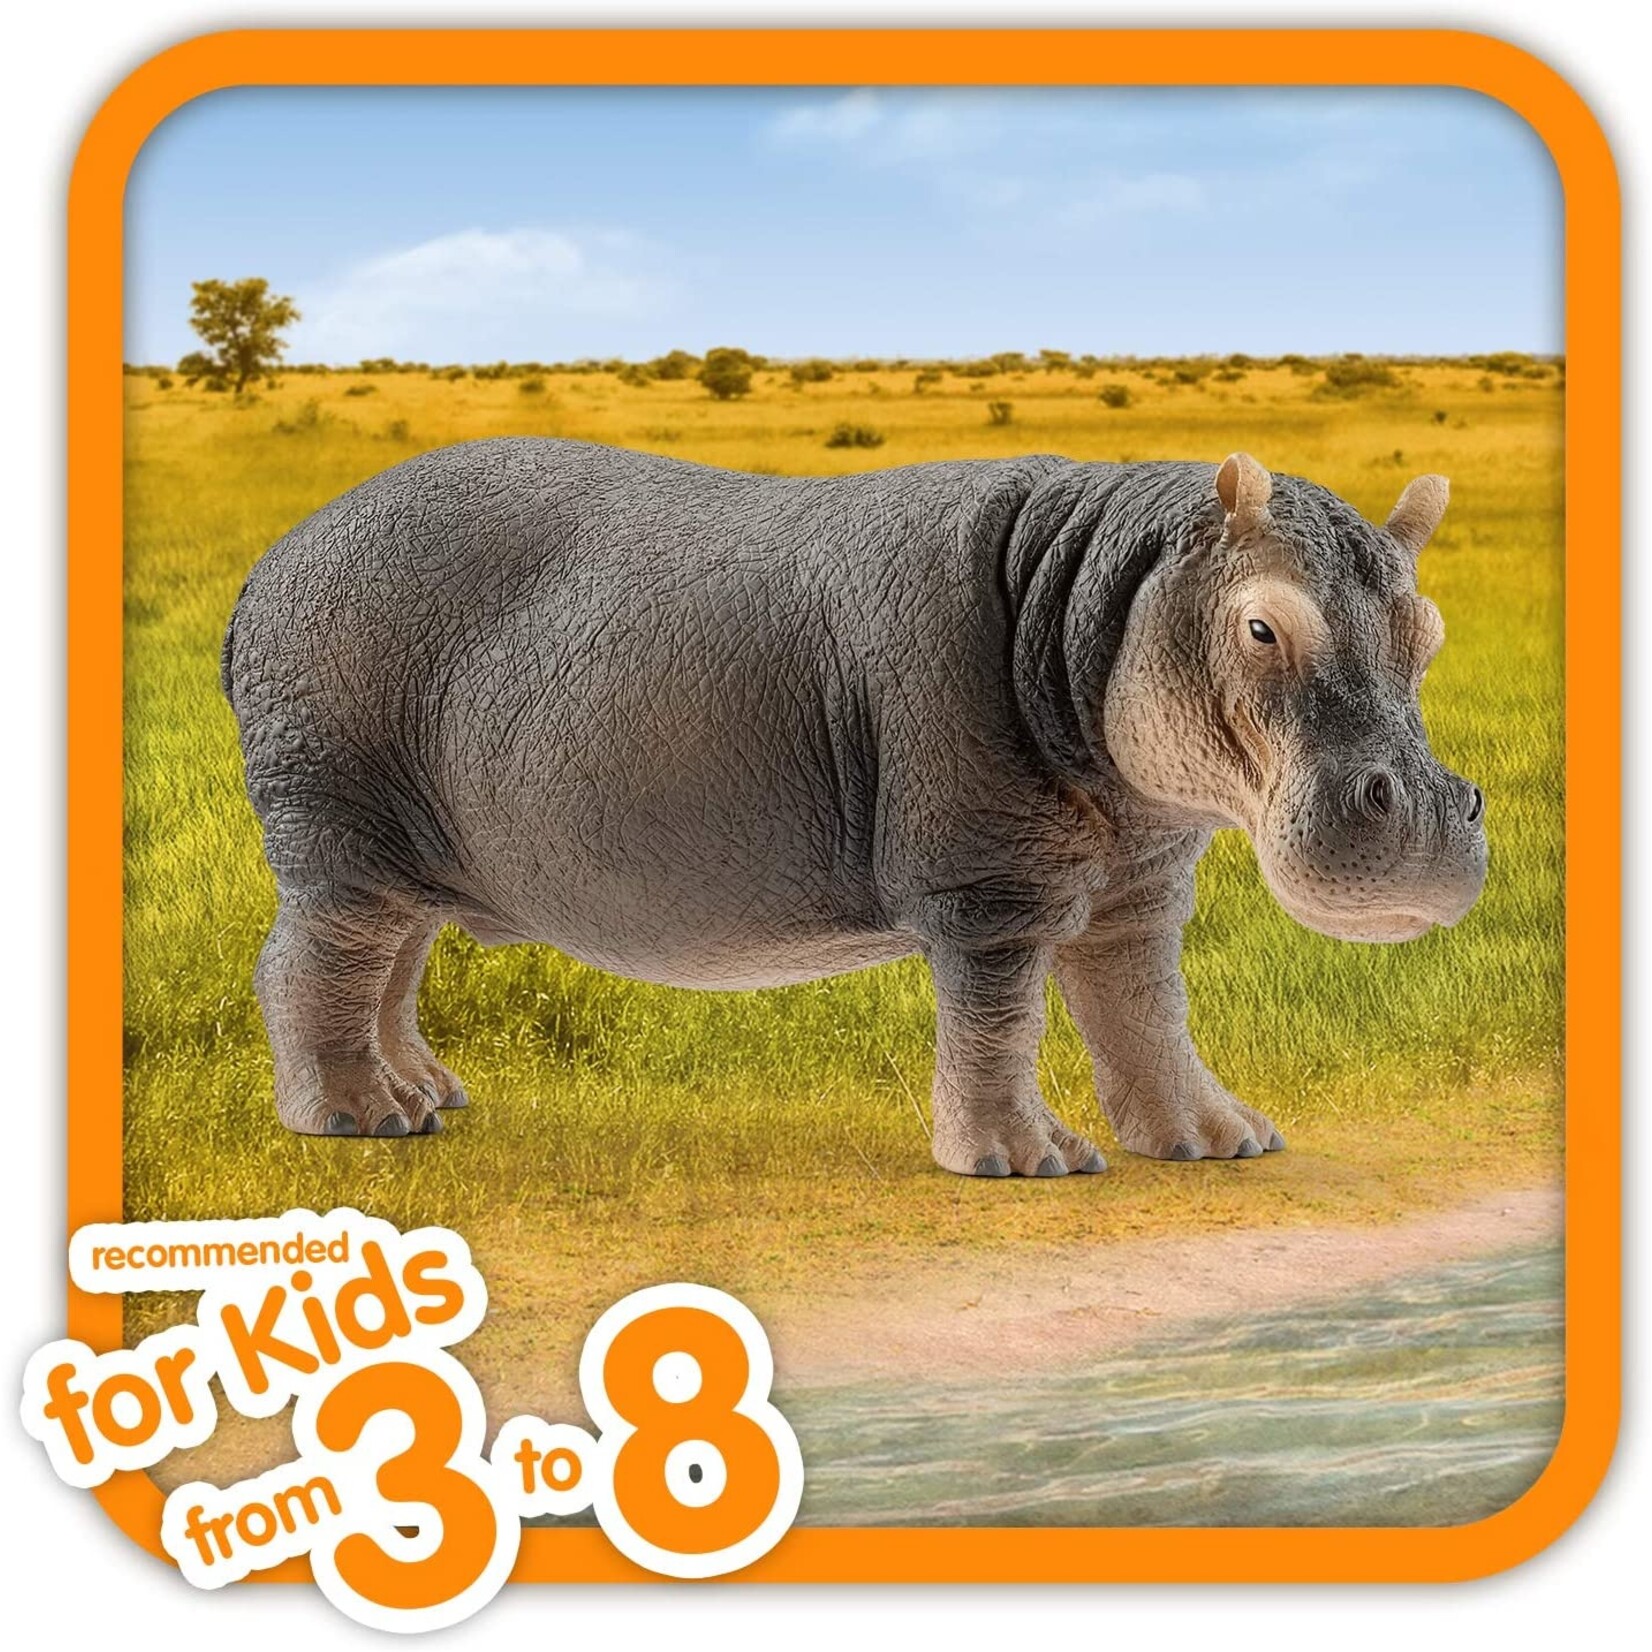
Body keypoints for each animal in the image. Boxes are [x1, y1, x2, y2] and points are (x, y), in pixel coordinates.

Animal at [221, 440, 1486, 1174]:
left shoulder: (1136, 877)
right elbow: (1000, 1021)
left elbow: (1144, 1011)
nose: (1430, 814)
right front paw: (1025, 1161)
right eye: (1261, 624)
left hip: (406, 847)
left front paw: (1223, 1141)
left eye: (1427, 627)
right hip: (336, 830)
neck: (1103, 582)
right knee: (309, 962)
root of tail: (268, 562)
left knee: (387, 963)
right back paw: (363, 1120)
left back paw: (428, 1093)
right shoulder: (987, 884)